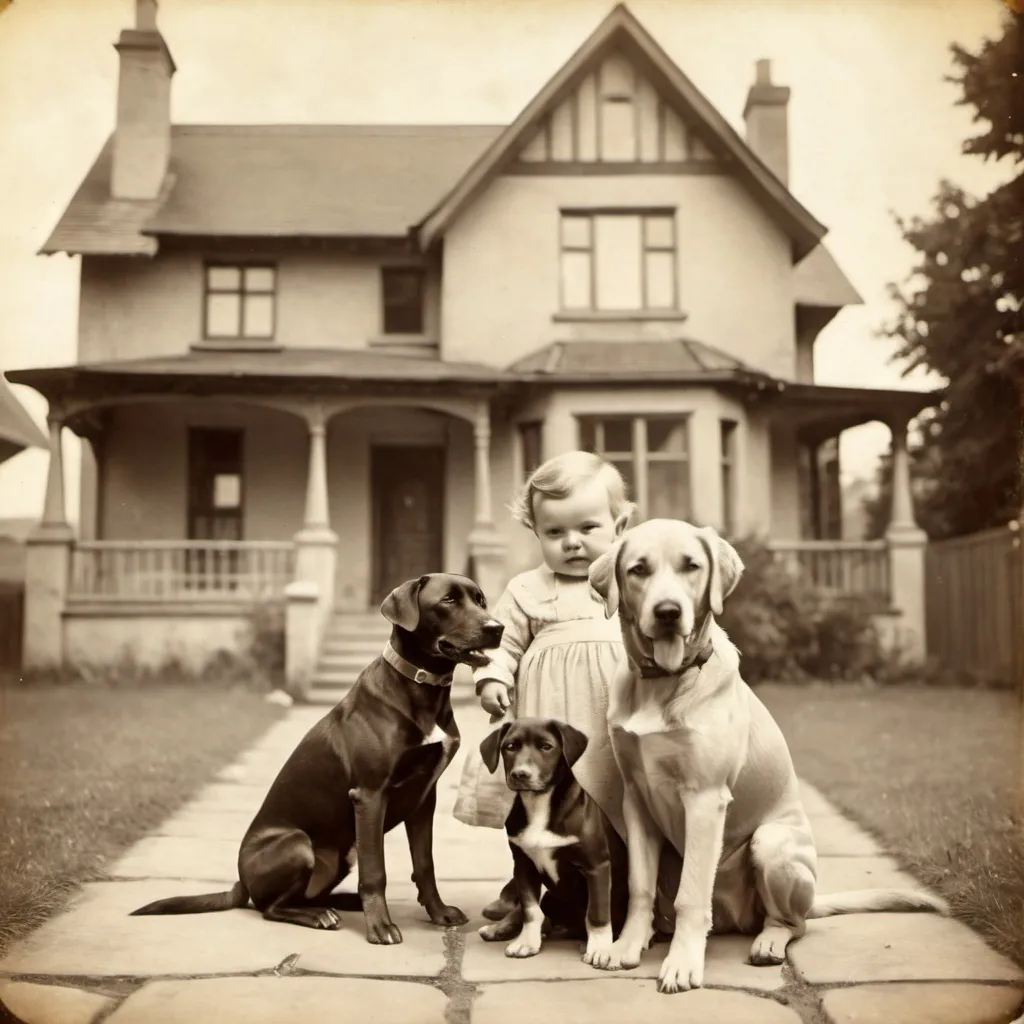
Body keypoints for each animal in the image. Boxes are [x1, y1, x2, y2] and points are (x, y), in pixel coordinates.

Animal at [130, 573, 505, 937]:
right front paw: (380, 928)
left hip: (341, 855)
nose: (497, 627)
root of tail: (241, 883)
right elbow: (376, 871)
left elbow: (425, 863)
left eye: (481, 600)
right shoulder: (369, 796)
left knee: (310, 895)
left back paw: (344, 902)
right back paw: (321, 916)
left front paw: (439, 913)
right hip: (298, 844)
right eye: (448, 600)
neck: (421, 687)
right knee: (271, 908)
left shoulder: (425, 796)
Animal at [475, 716, 626, 962]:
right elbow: (530, 910)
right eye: (510, 747)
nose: (521, 774)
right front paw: (527, 942)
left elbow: (597, 912)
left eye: (546, 747)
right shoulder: (523, 864)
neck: (540, 803)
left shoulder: (597, 865)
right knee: (536, 913)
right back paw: (500, 928)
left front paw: (600, 948)